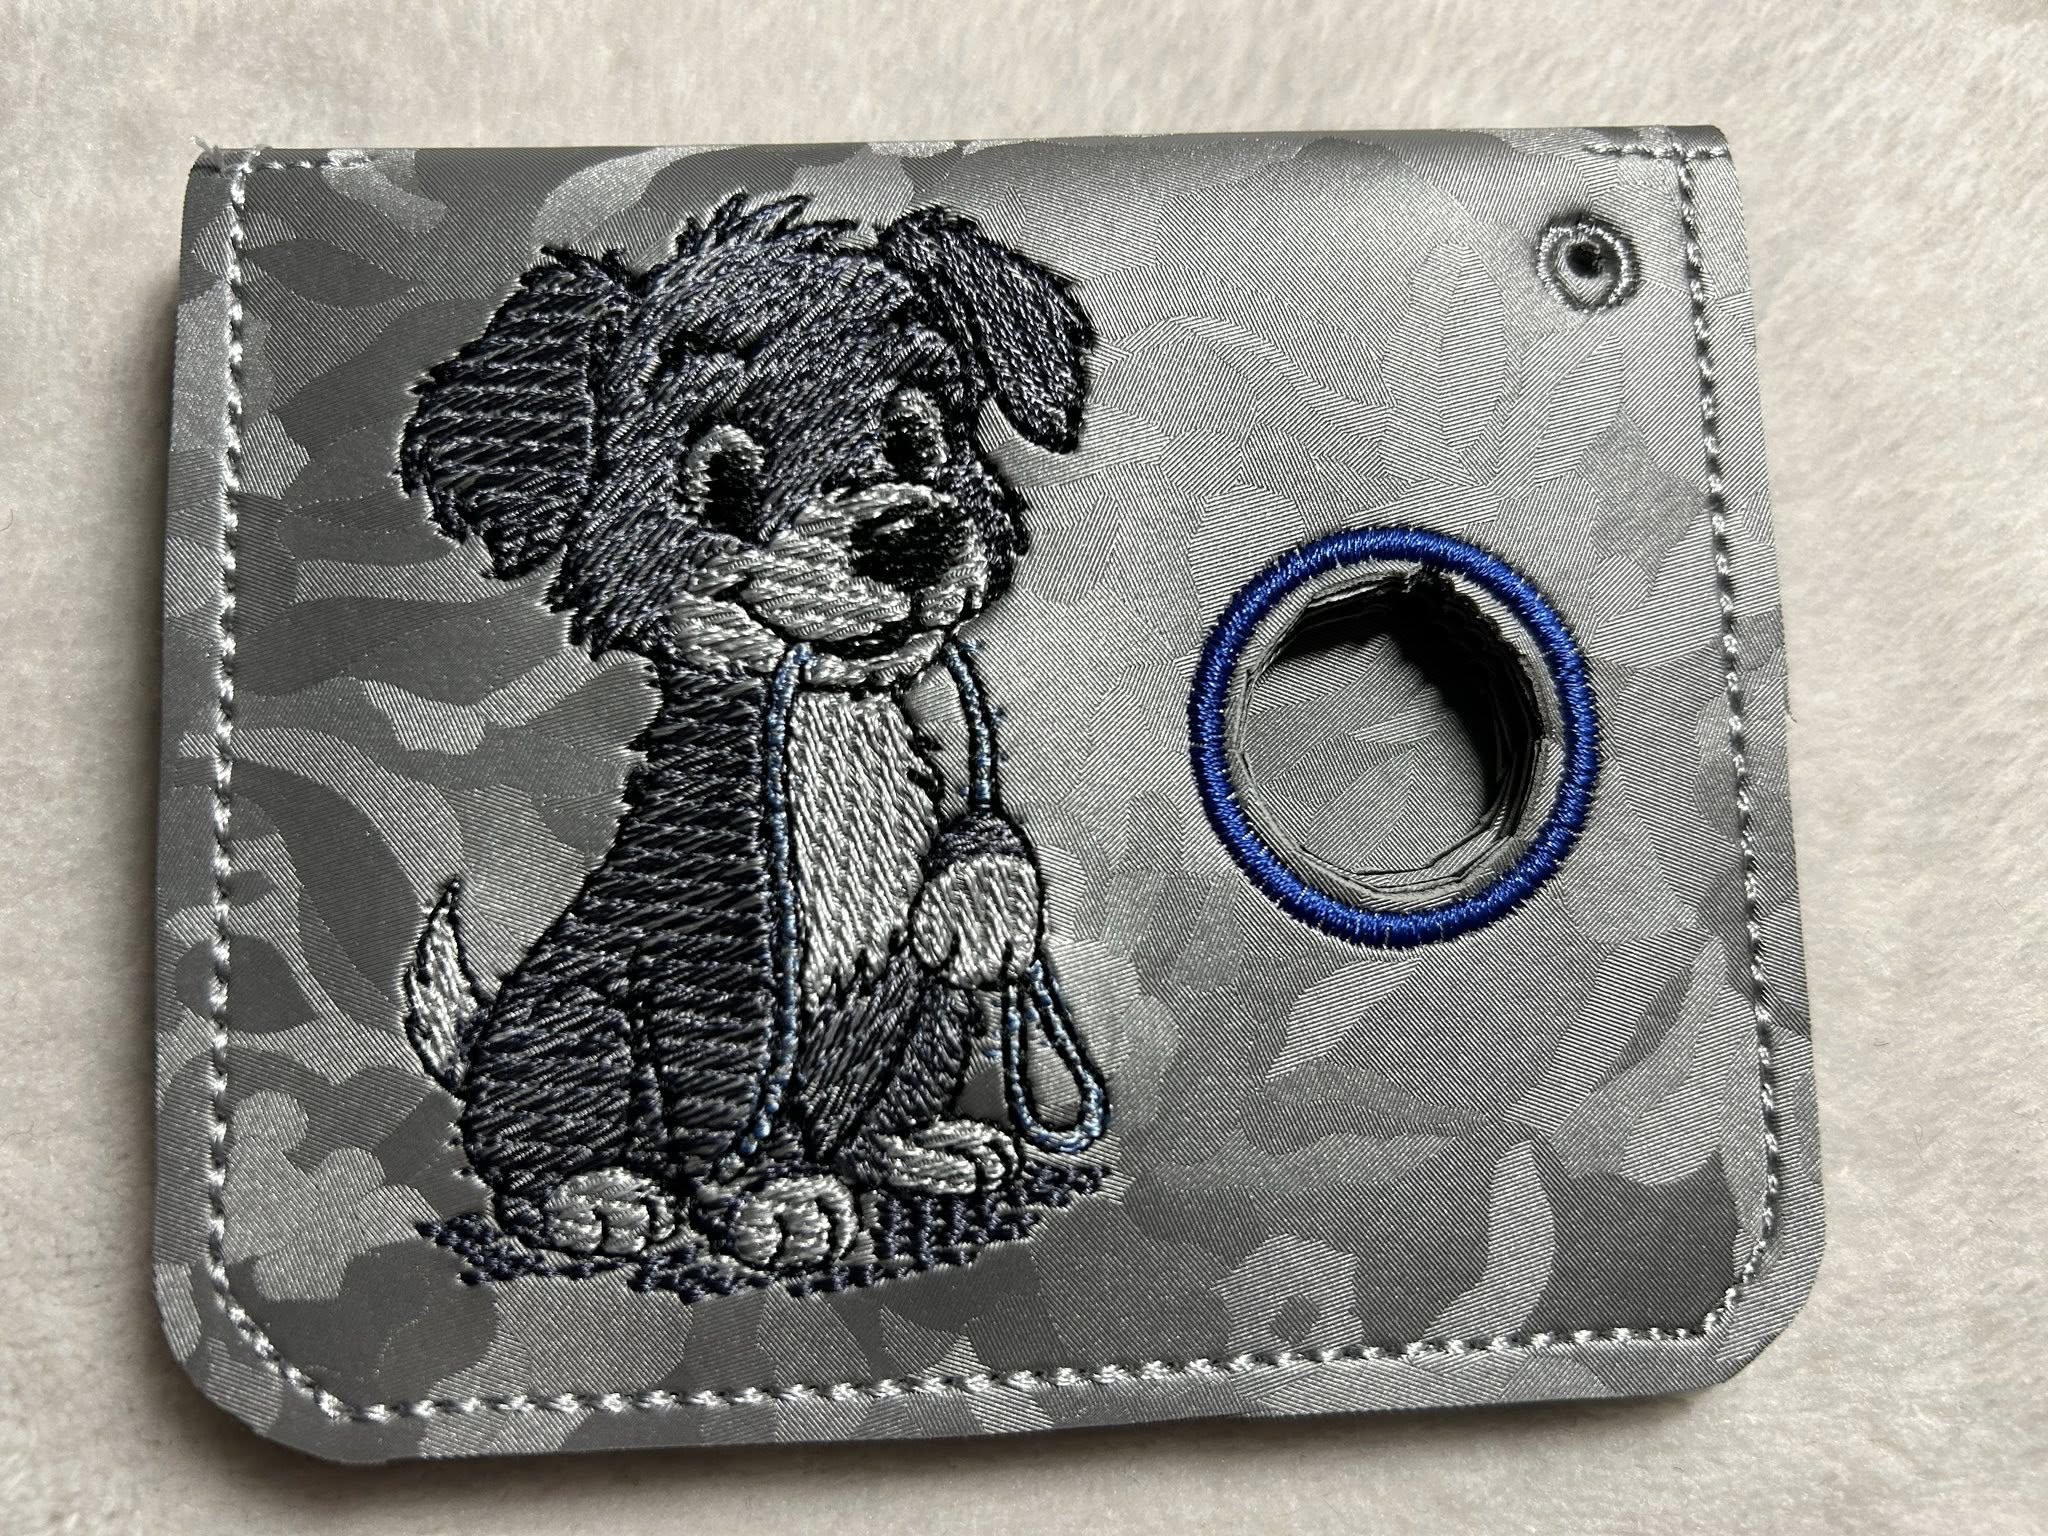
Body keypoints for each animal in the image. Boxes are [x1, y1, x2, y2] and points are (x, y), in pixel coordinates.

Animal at [394, 192, 1108, 1280]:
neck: (827, 727)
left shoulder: (900, 961)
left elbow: (953, 925)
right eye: (722, 478)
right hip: (577, 1017)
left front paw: (989, 891)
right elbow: (731, 1098)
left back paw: (918, 1144)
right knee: (534, 1146)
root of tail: (478, 1054)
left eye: (917, 433)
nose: (910, 534)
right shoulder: (718, 978)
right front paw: (772, 1202)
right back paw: (593, 1198)